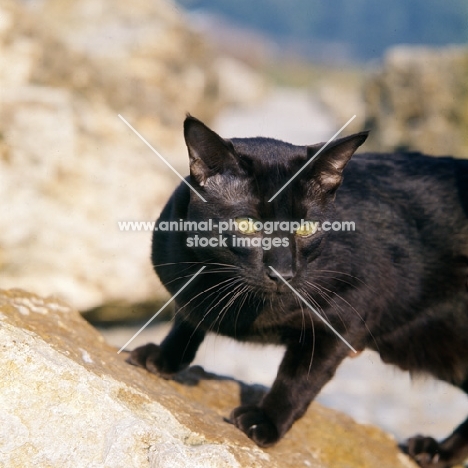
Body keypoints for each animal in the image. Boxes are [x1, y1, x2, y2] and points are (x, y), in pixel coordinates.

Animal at [127, 115, 468, 466]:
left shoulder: (345, 317)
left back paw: (437, 452)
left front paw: (265, 422)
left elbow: (299, 377)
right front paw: (164, 357)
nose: (284, 272)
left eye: (306, 228)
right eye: (248, 224)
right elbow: (187, 317)